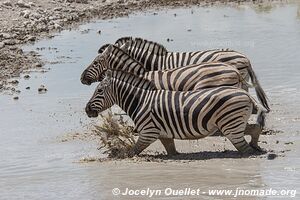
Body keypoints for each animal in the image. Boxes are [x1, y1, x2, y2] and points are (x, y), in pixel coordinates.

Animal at [85, 70, 264, 156]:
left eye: (99, 90)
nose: (86, 109)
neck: (140, 101)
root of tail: (246, 94)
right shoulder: (163, 134)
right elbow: (171, 151)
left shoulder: (148, 132)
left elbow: (131, 152)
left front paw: (118, 154)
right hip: (232, 123)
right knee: (254, 129)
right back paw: (256, 146)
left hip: (230, 124)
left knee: (244, 147)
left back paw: (250, 152)